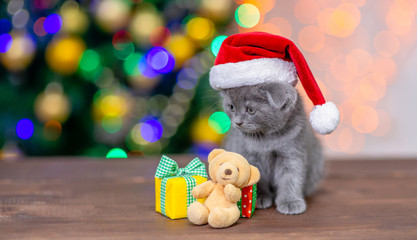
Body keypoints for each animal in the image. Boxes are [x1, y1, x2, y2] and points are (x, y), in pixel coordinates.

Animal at [221, 81, 322, 215]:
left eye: (251, 110)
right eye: (232, 107)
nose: (238, 122)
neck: (267, 138)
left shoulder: (291, 153)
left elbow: (290, 177)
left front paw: (290, 201)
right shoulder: (249, 154)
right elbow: (258, 177)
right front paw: (259, 198)